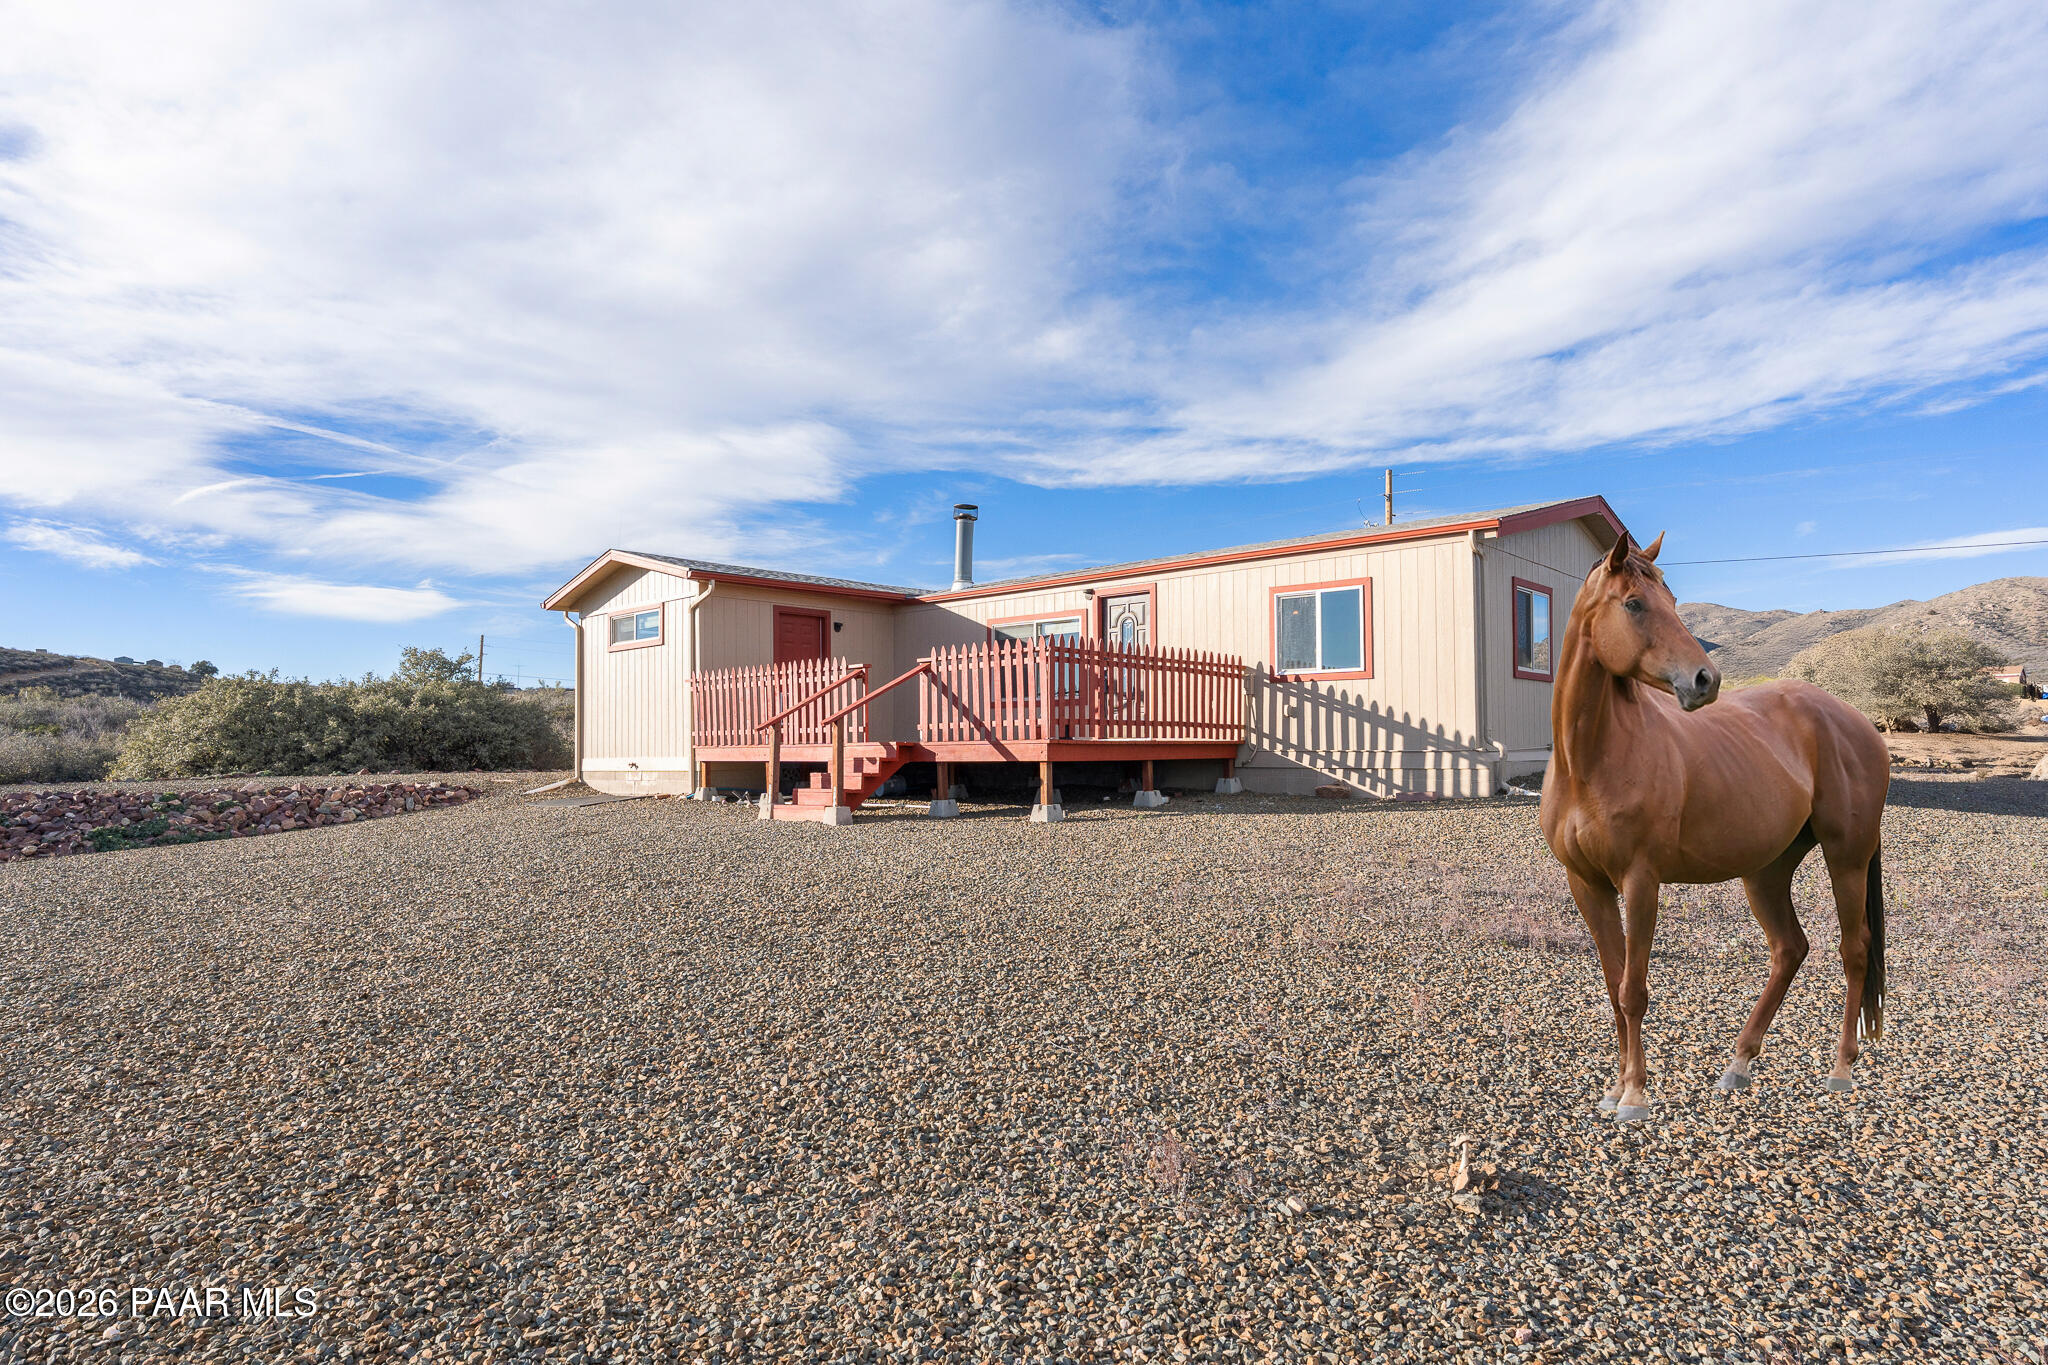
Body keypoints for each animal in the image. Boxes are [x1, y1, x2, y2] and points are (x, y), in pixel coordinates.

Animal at [1539, 532, 1890, 1122]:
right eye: (1634, 604)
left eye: (1674, 601)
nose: (1706, 680)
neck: (1591, 759)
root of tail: (1857, 721)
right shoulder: (1586, 884)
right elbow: (1613, 985)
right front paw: (1614, 1088)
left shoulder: (1641, 881)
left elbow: (1633, 990)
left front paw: (1634, 1094)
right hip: (1766, 870)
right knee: (1790, 948)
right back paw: (1739, 1063)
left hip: (1847, 857)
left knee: (1854, 949)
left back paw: (1841, 1069)